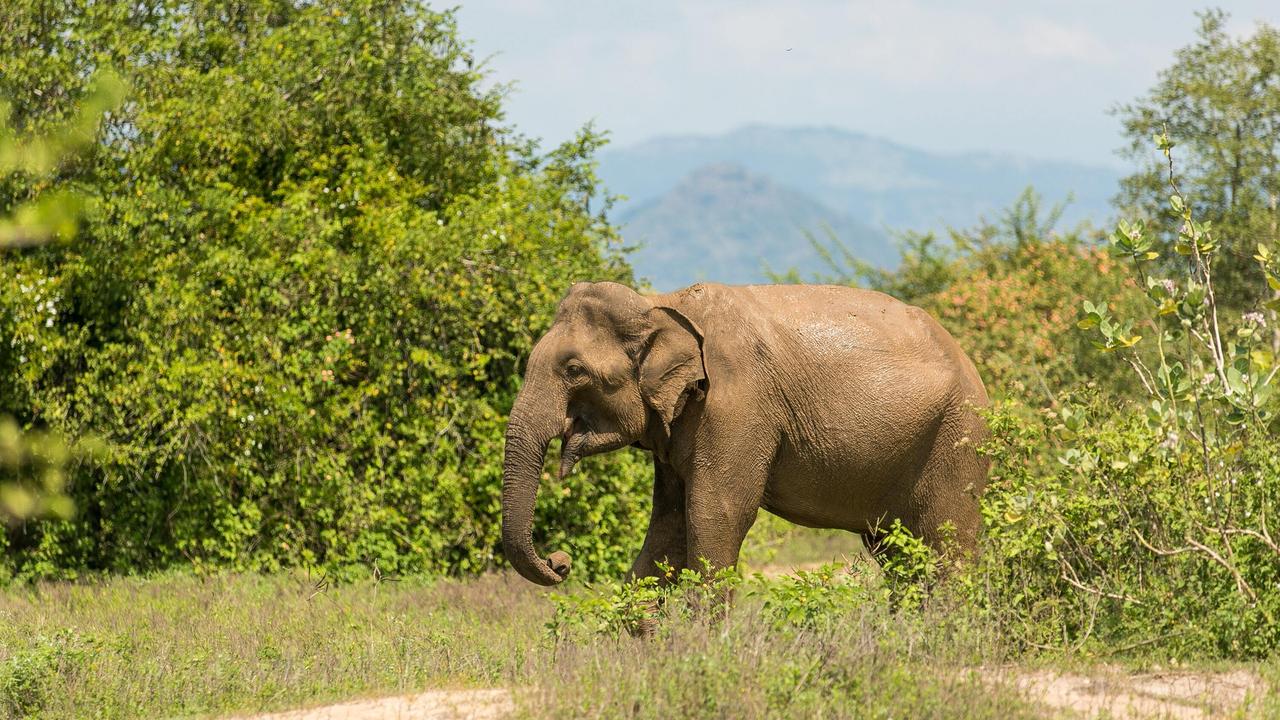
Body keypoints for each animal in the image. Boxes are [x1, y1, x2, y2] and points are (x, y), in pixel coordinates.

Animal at [501, 280, 989, 587]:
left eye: (574, 371)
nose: (560, 562)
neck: (659, 303)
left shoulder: (735, 405)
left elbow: (715, 514)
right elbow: (668, 525)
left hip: (957, 439)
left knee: (947, 542)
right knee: (896, 550)